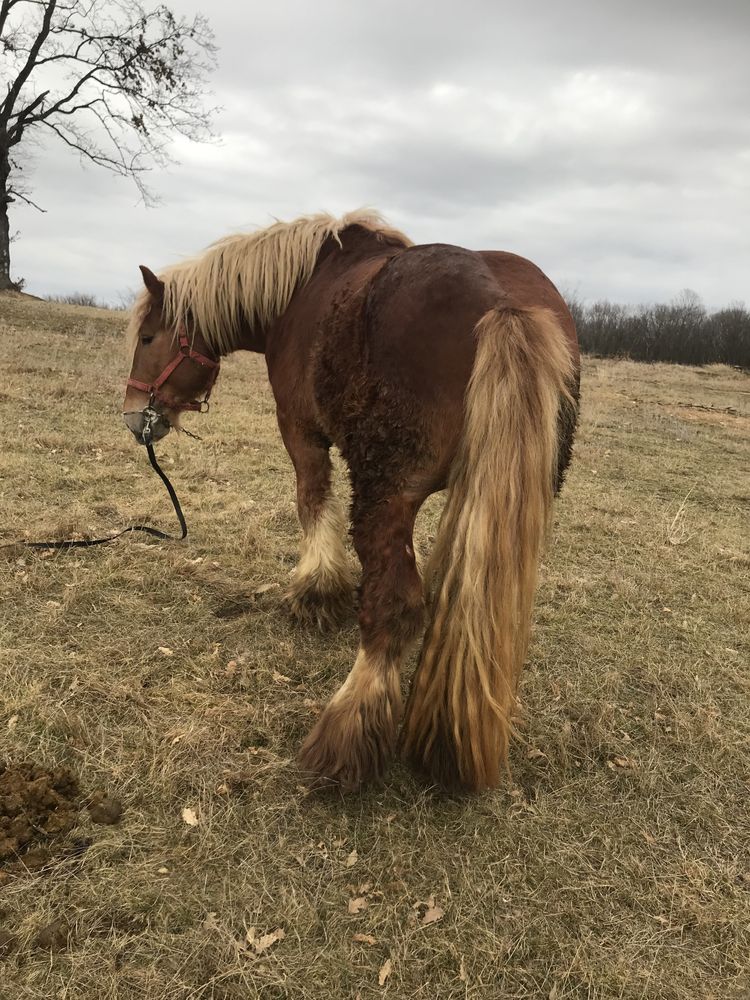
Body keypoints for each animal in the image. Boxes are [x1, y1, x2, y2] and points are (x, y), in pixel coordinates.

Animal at [125, 209, 580, 788]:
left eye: (148, 337)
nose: (134, 417)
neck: (301, 287)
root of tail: (501, 302)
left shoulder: (300, 431)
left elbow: (312, 501)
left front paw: (317, 591)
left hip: (385, 492)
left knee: (397, 609)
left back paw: (347, 735)